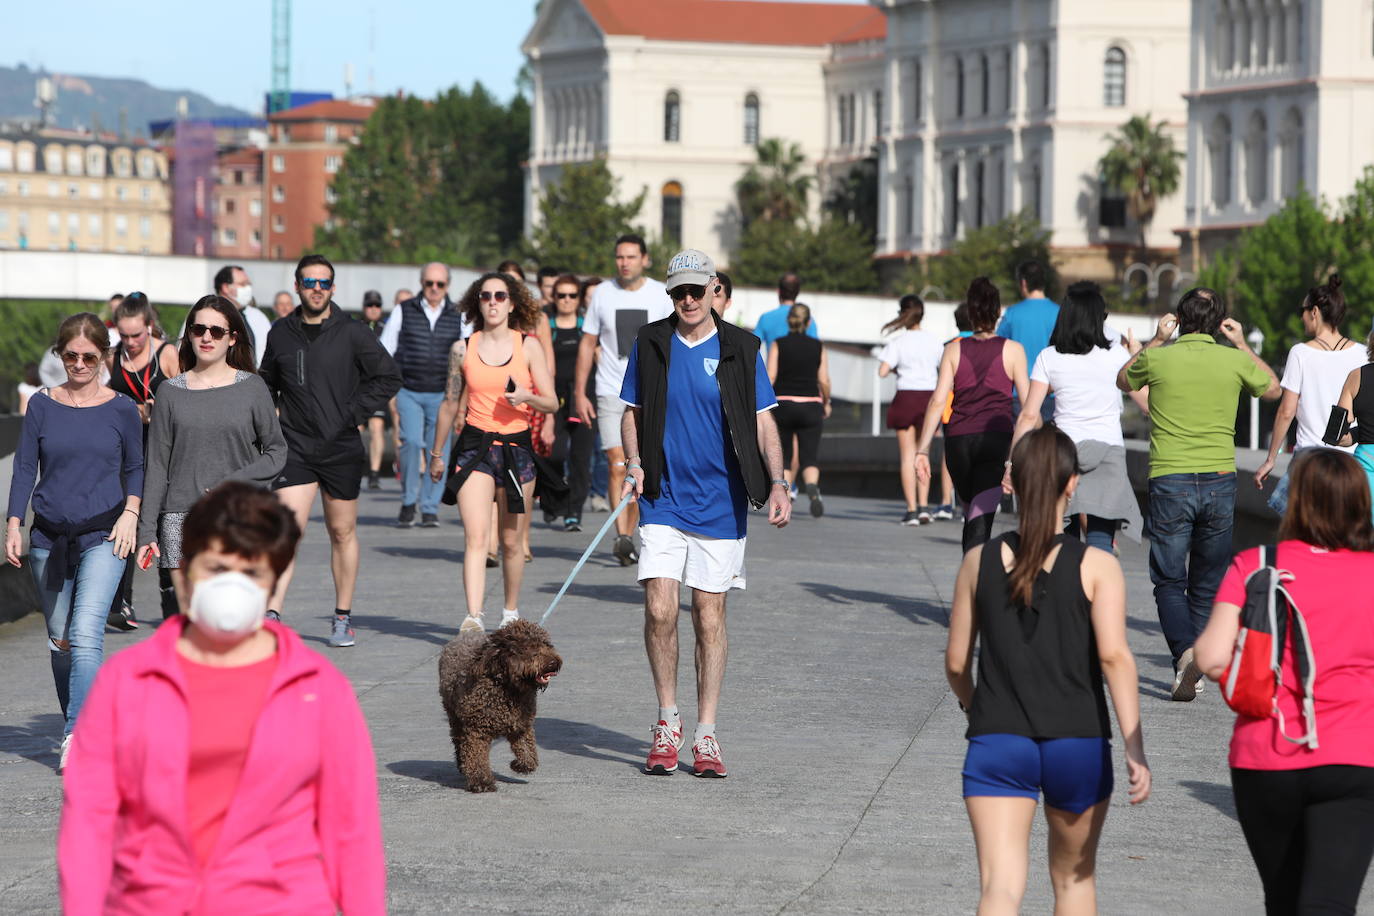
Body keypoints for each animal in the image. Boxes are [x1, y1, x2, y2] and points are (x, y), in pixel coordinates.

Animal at [436, 620, 560, 791]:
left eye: (546, 644)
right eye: (528, 647)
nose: (553, 662)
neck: (508, 688)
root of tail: (465, 635)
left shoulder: (521, 726)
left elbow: (529, 755)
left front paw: (518, 765)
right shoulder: (476, 731)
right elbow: (476, 757)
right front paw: (482, 782)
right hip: (454, 716)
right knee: (459, 740)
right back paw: (462, 764)